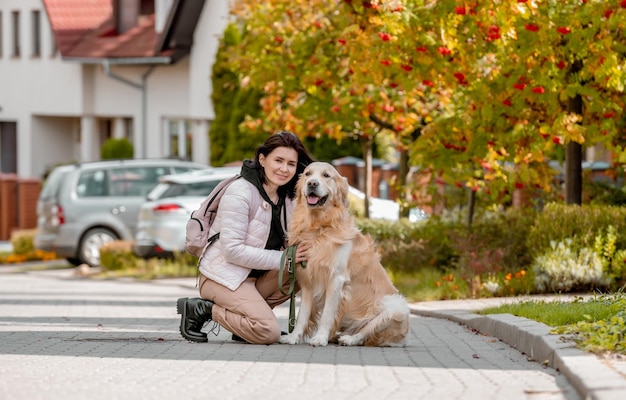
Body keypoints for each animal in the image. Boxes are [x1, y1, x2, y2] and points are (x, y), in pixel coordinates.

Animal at [280, 162, 410, 346]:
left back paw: (348, 338)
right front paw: (293, 337)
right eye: (307, 174)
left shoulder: (336, 279)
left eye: (326, 175)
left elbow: (327, 315)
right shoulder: (307, 280)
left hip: (396, 305)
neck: (319, 228)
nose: (312, 183)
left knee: (365, 332)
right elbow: (302, 315)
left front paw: (320, 338)